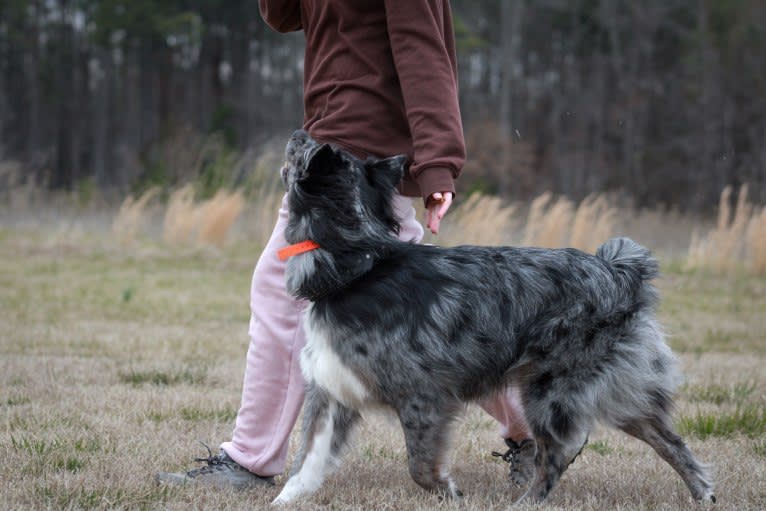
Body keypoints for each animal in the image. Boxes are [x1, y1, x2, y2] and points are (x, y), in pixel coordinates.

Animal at [272, 130, 716, 506]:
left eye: (305, 149)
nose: (296, 132)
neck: (356, 263)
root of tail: (619, 271)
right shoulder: (331, 390)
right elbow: (305, 460)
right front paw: (283, 499)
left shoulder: (423, 396)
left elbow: (420, 466)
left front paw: (448, 492)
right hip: (618, 391)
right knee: (667, 438)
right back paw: (704, 493)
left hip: (550, 391)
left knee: (556, 456)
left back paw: (527, 503)